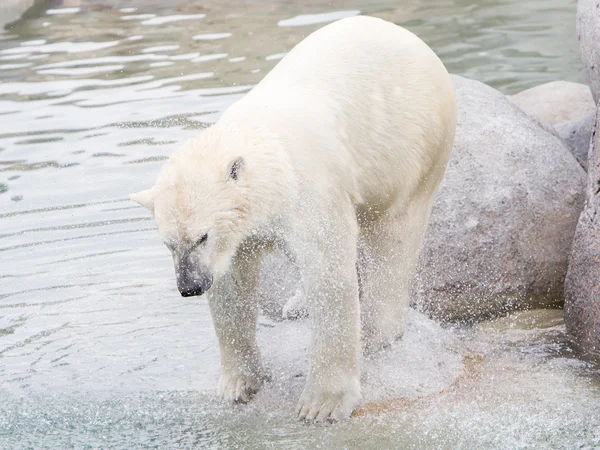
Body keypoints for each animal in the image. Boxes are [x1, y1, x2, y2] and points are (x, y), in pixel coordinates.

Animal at [130, 14, 454, 422]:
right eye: (168, 243)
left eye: (202, 235)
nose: (190, 286)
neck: (266, 150)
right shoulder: (239, 237)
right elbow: (233, 286)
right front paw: (238, 385)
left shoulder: (311, 191)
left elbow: (328, 274)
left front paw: (321, 404)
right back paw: (298, 304)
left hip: (413, 147)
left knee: (395, 233)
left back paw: (379, 330)